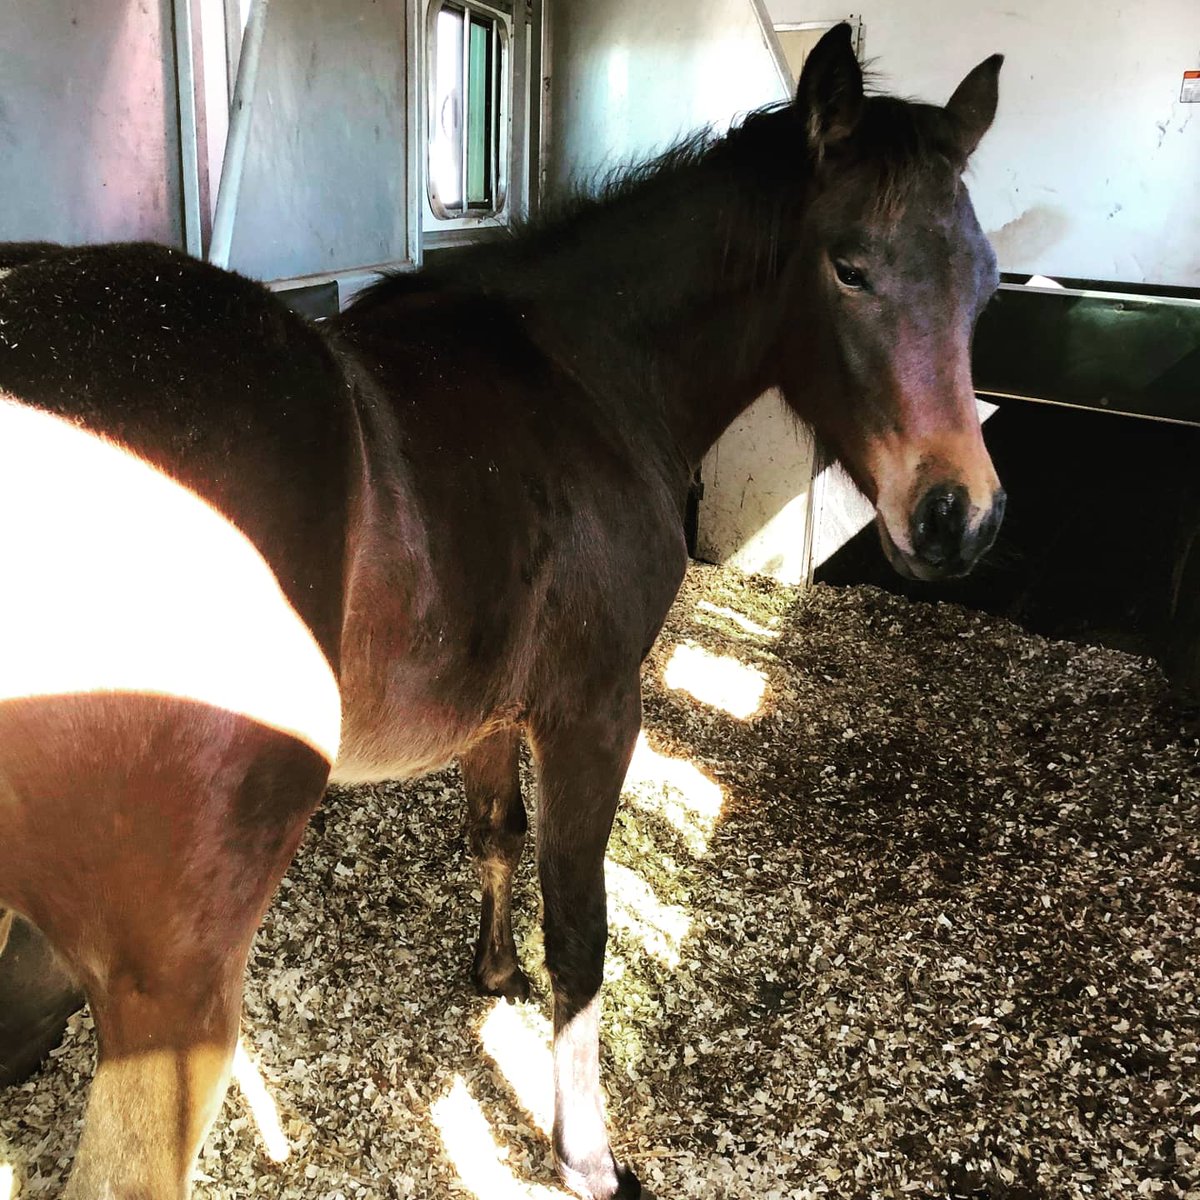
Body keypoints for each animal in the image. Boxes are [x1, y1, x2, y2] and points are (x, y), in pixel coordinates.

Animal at [0, 25, 1004, 1199]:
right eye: (849, 265)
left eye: (984, 283)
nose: (959, 515)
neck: (588, 370)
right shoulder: (593, 713)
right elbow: (580, 929)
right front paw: (584, 1152)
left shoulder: (489, 711)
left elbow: (496, 837)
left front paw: (492, 970)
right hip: (172, 993)